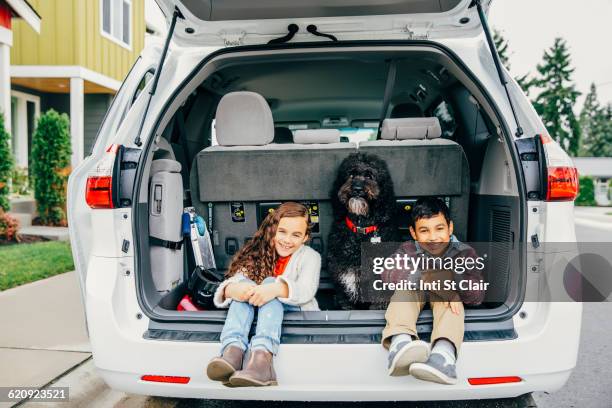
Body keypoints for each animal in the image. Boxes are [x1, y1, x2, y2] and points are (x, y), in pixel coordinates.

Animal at [328, 153, 400, 310]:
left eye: (369, 175)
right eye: (351, 174)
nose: (357, 188)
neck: (360, 230)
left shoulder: (379, 290)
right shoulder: (344, 286)